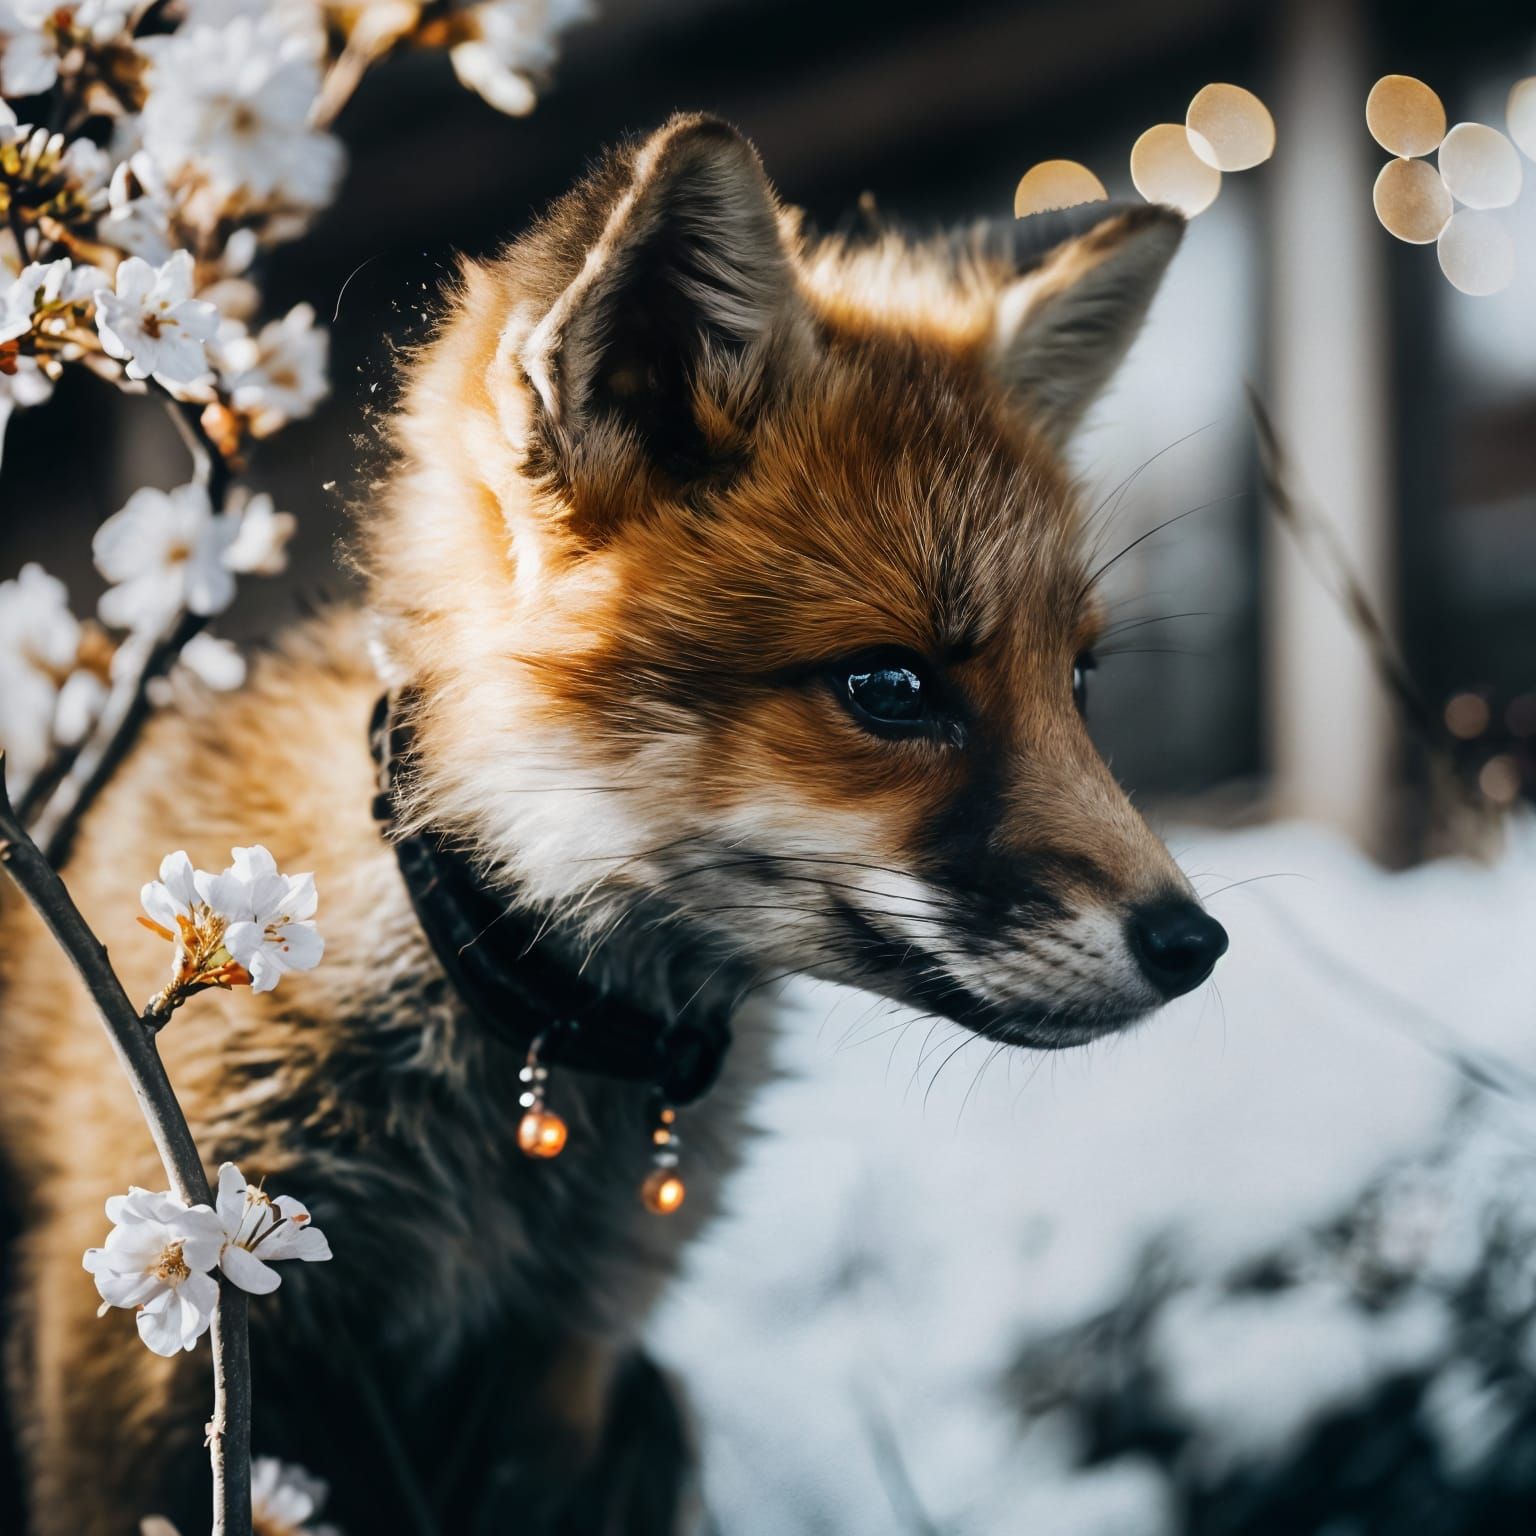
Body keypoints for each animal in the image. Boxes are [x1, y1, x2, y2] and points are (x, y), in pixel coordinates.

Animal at [0, 113, 1226, 1535]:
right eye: (890, 687)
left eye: (1077, 682)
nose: (1196, 945)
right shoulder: (146, 1362)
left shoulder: (566, 1372)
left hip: (653, 1409)